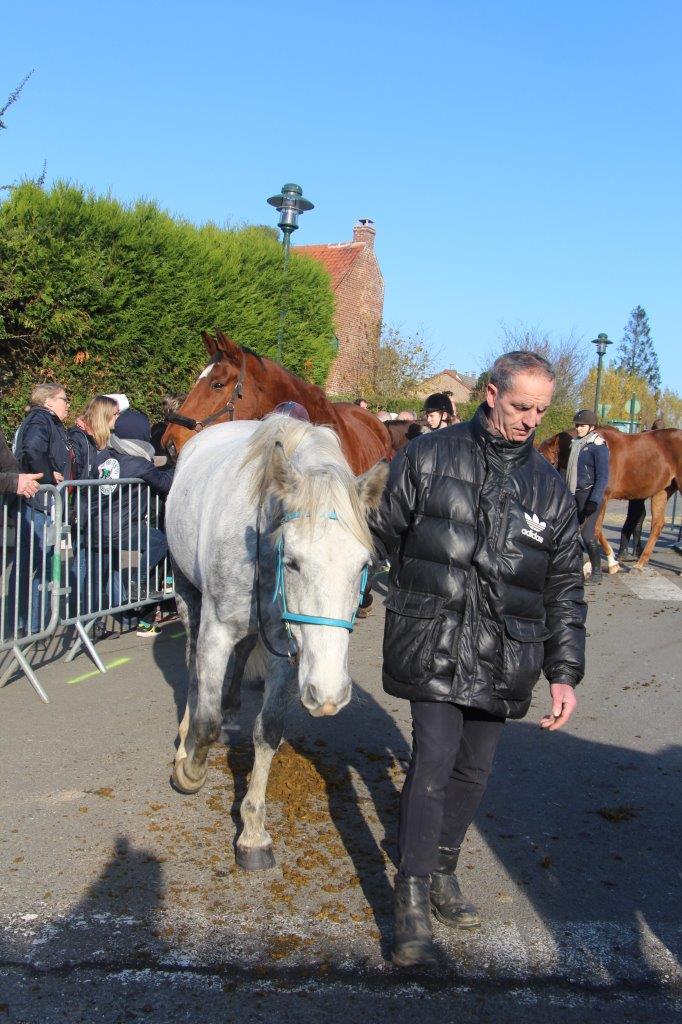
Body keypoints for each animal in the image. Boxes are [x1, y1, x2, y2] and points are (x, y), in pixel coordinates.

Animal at [163, 415, 385, 872]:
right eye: (293, 561)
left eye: (363, 565)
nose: (329, 694)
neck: (260, 547)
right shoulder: (216, 630)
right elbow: (206, 721)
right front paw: (189, 770)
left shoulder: (288, 647)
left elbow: (268, 731)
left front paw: (253, 833)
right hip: (186, 593)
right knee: (193, 668)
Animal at [536, 423, 679, 569]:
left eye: (552, 463)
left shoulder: (601, 499)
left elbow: (595, 529)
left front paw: (611, 561)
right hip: (661, 492)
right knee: (657, 524)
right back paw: (640, 563)